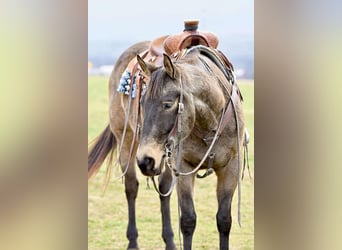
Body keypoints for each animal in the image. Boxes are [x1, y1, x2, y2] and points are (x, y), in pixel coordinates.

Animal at [89, 20, 246, 249]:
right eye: (143, 103)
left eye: (168, 104)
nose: (145, 159)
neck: (209, 123)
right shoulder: (184, 166)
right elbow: (188, 220)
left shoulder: (231, 166)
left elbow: (224, 220)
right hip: (127, 141)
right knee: (131, 187)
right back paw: (133, 241)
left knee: (163, 189)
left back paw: (170, 241)